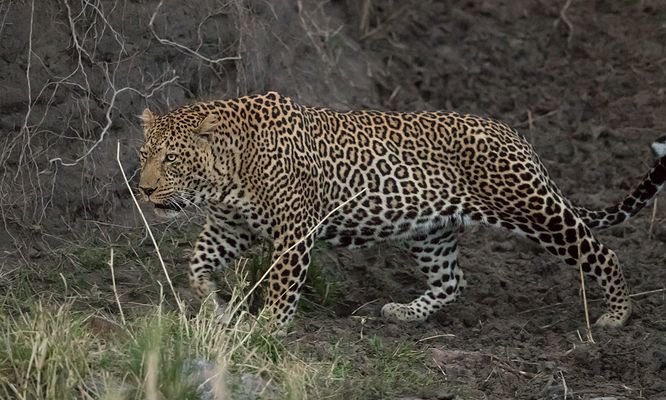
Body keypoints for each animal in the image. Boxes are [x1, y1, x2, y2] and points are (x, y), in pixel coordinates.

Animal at [138, 91, 666, 331]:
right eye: (144, 154)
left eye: (171, 159)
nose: (142, 189)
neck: (227, 171)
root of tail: (517, 137)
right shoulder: (232, 228)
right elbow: (196, 264)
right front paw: (215, 306)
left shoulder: (294, 231)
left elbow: (282, 285)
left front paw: (267, 327)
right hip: (429, 230)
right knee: (453, 280)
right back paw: (406, 313)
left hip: (532, 208)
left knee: (602, 252)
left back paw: (617, 314)